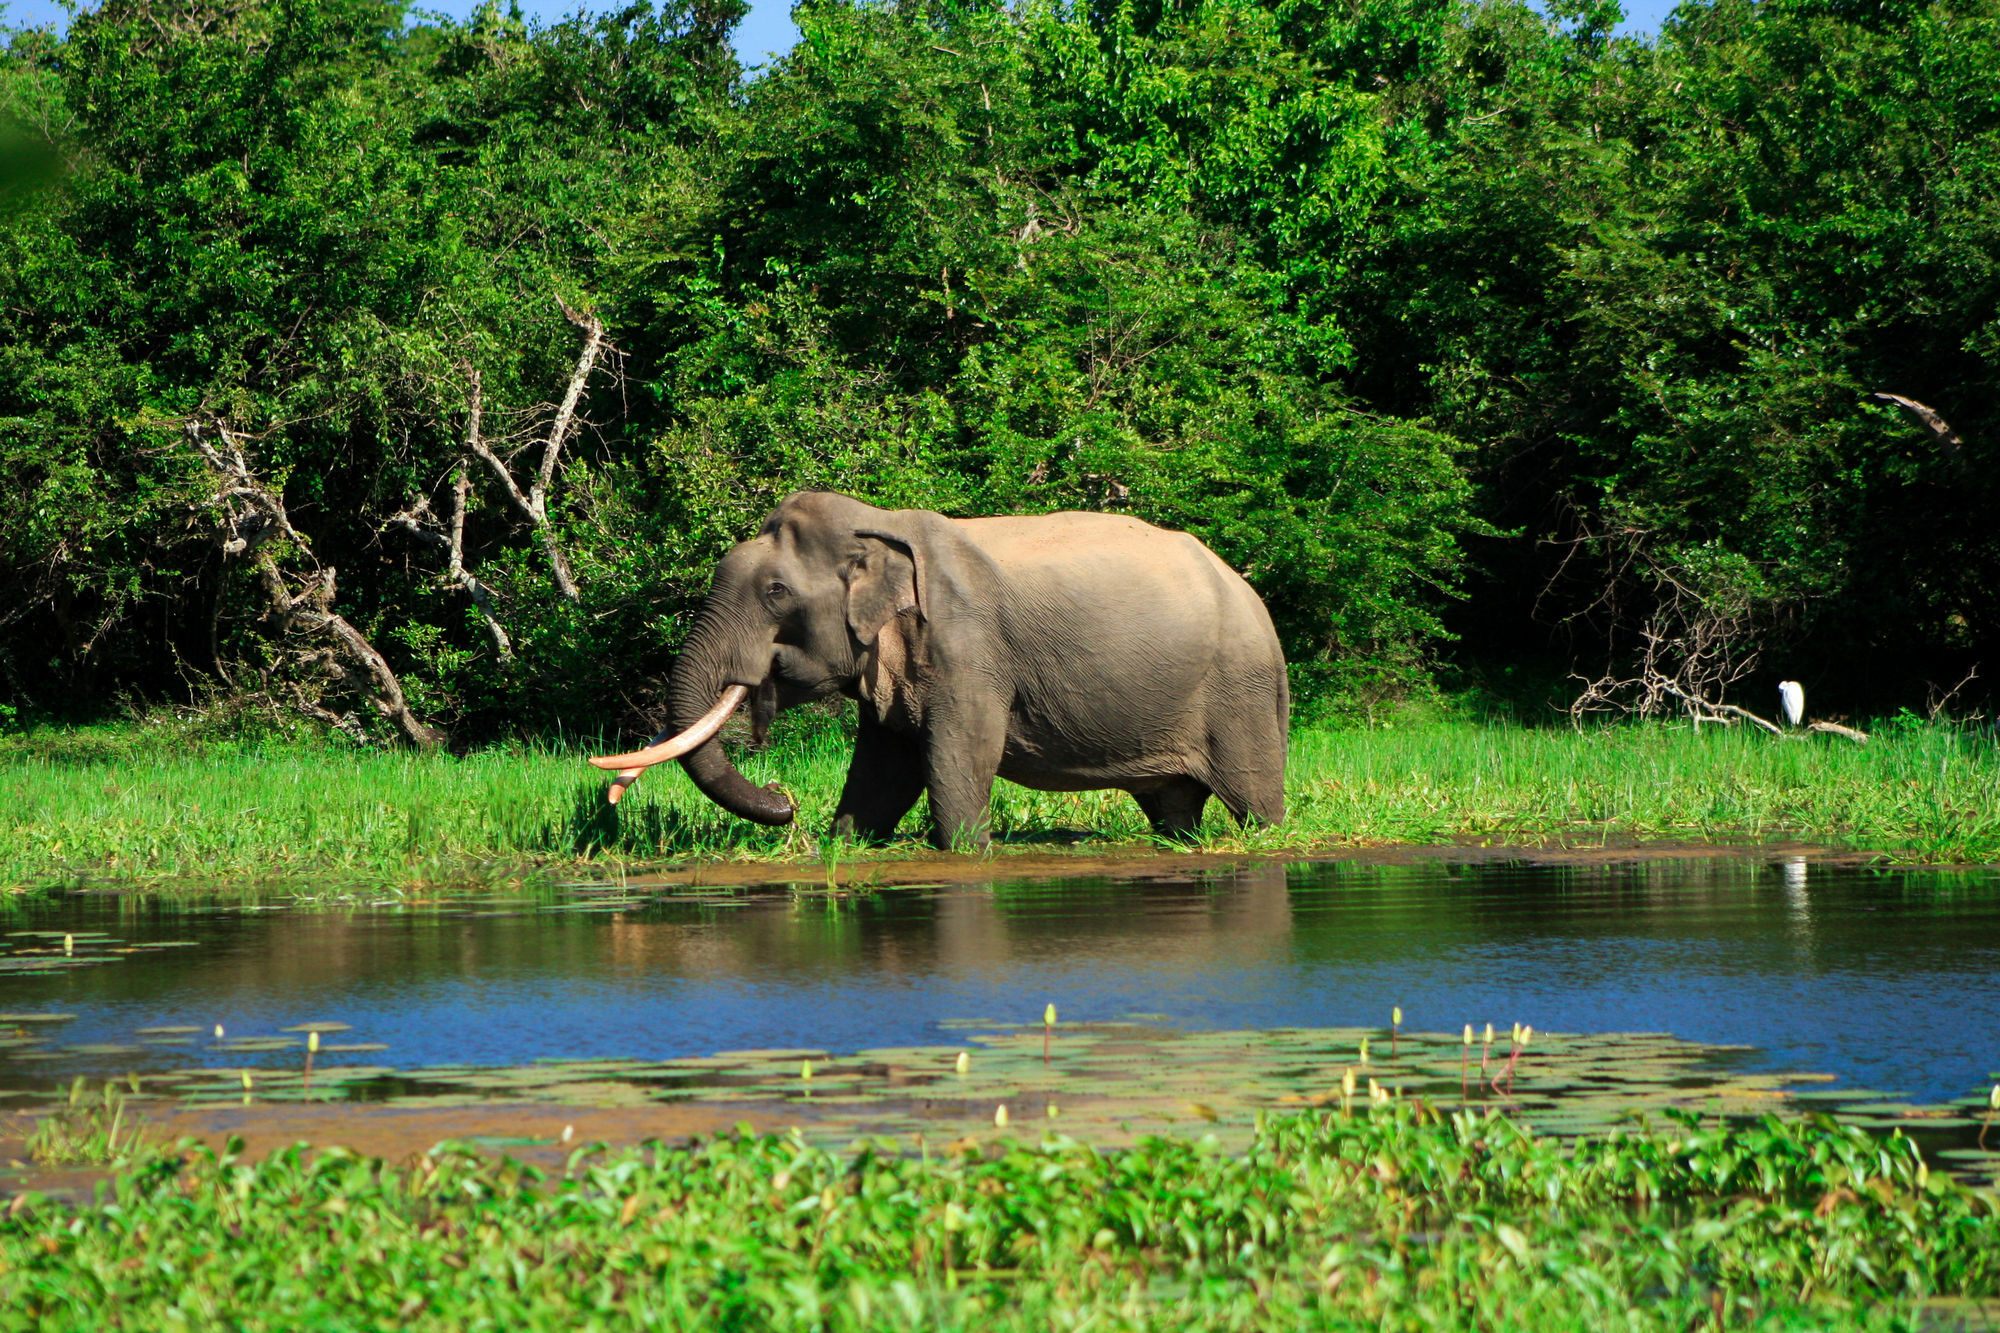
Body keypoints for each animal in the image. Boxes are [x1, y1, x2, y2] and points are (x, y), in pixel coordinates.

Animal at [584, 490, 1288, 852]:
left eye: (776, 593)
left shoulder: (967, 646)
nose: (785, 800)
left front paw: (966, 853)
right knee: (1175, 809)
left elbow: (960, 752)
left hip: (1241, 693)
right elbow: (882, 767)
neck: (879, 525)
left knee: (1255, 805)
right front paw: (845, 844)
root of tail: (1255, 599)